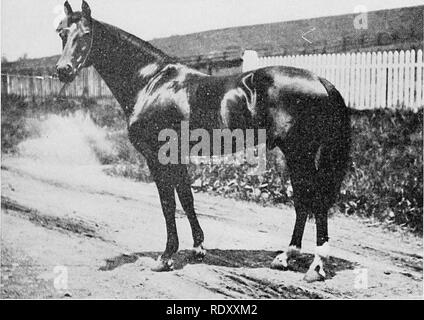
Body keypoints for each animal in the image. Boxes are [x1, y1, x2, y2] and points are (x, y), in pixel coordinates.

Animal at [56, 1, 352, 282]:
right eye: (61, 33)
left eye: (86, 34)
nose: (63, 70)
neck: (151, 83)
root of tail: (321, 81)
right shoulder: (177, 157)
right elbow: (186, 198)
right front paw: (198, 247)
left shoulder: (157, 157)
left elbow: (168, 204)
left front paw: (166, 257)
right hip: (294, 154)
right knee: (303, 201)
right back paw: (285, 257)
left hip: (301, 152)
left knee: (315, 201)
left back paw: (315, 267)